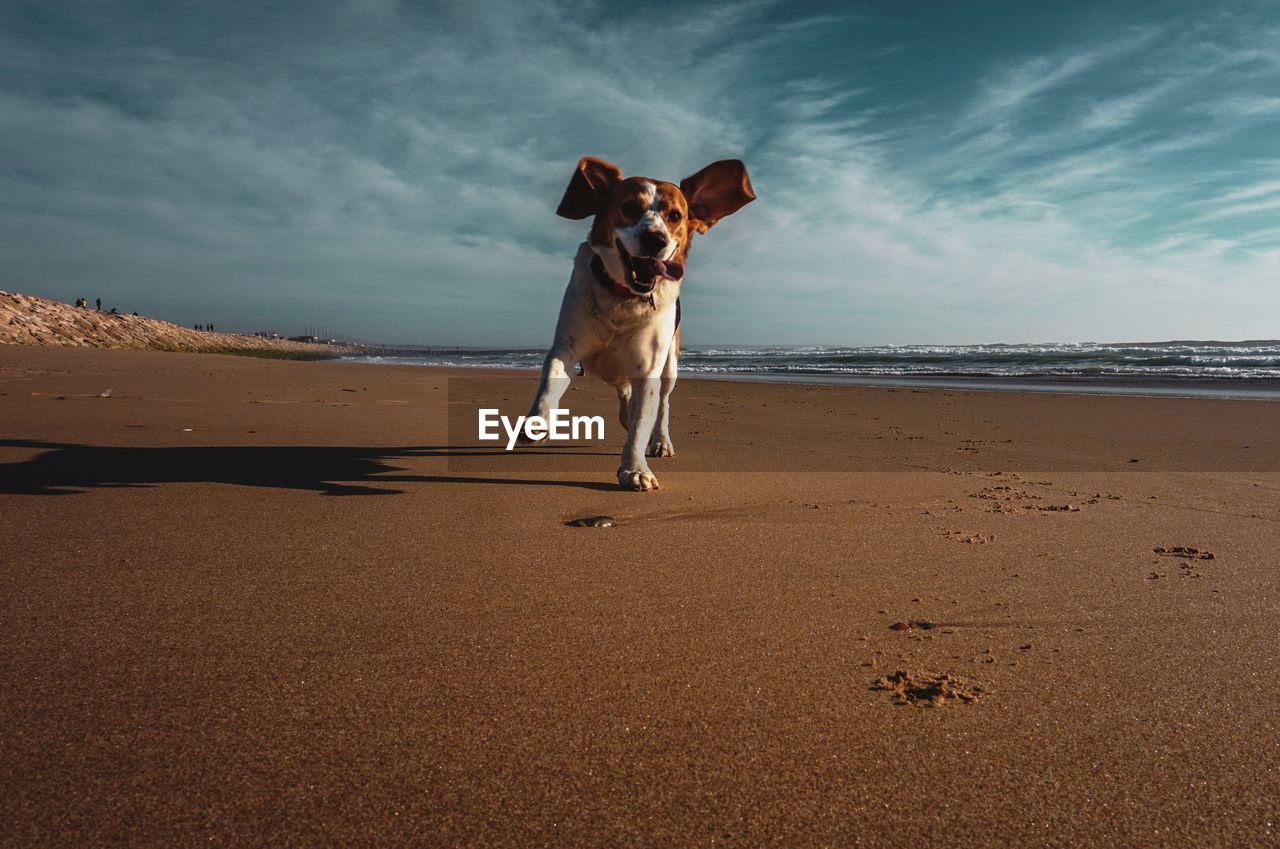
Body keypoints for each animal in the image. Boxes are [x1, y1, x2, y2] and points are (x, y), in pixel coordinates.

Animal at [524, 155, 752, 489]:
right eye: (630, 207)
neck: (625, 299)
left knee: (662, 406)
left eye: (675, 215)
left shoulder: (648, 369)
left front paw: (635, 468)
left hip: (670, 367)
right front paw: (538, 421)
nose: (654, 239)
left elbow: (642, 421)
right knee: (624, 394)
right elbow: (549, 385)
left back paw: (661, 441)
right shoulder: (566, 349)